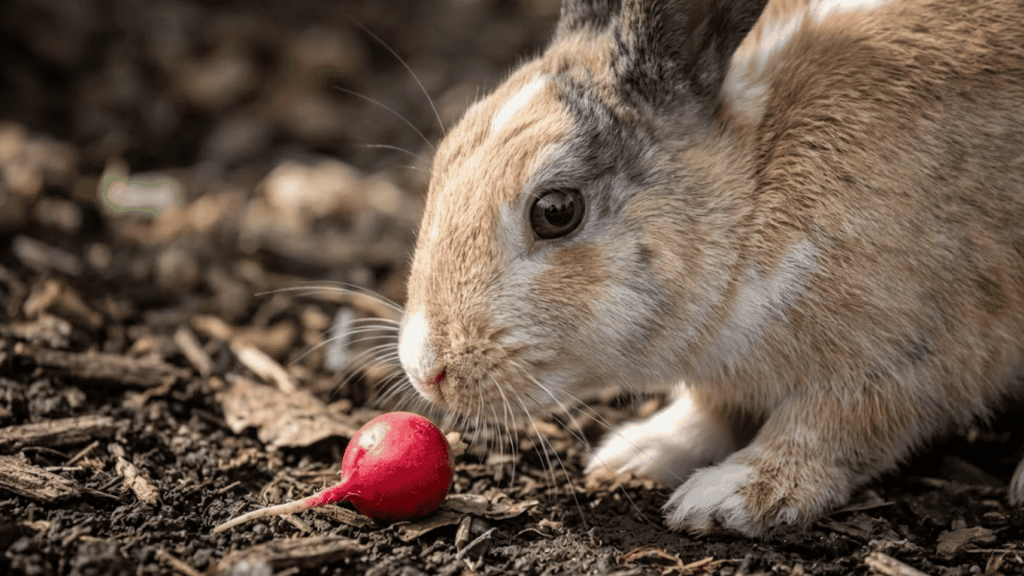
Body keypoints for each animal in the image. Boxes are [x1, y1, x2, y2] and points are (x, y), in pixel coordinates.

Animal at [396, 0, 1024, 537]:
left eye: (556, 211)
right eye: (445, 157)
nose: (427, 370)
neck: (753, 193)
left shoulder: (908, 356)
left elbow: (828, 430)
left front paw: (726, 497)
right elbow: (708, 411)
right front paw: (636, 454)